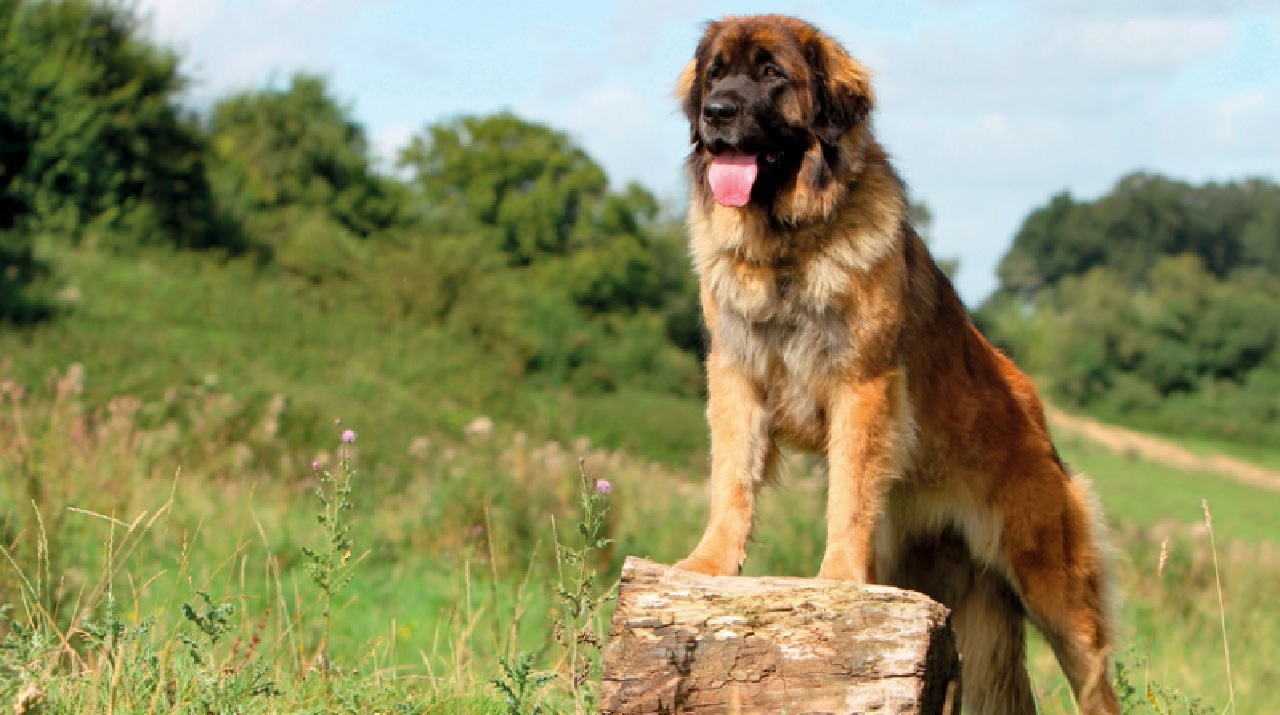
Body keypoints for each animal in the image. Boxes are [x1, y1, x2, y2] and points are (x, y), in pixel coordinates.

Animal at [670, 16, 1121, 715]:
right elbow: (732, 479)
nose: (717, 112)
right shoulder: (737, 376)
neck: (789, 247)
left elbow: (848, 494)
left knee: (1097, 679)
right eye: (716, 74)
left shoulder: (862, 384)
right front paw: (710, 565)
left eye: (772, 74)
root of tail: (1036, 411)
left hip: (1055, 585)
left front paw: (837, 582)